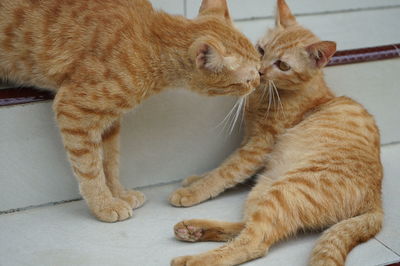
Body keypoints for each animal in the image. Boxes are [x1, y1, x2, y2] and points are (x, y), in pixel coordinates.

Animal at [0, 0, 260, 222]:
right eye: (247, 79)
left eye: (259, 66)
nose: (259, 81)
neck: (151, 40)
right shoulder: (73, 109)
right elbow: (90, 168)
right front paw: (104, 204)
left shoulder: (110, 120)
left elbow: (110, 162)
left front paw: (118, 193)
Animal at [170, 1, 382, 264]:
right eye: (261, 49)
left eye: (283, 65)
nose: (259, 71)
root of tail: (376, 201)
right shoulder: (248, 138)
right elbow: (224, 164)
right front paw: (197, 179)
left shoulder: (259, 146)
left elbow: (226, 171)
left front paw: (194, 190)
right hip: (265, 186)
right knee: (246, 227)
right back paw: (194, 230)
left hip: (286, 191)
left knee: (255, 242)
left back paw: (195, 259)